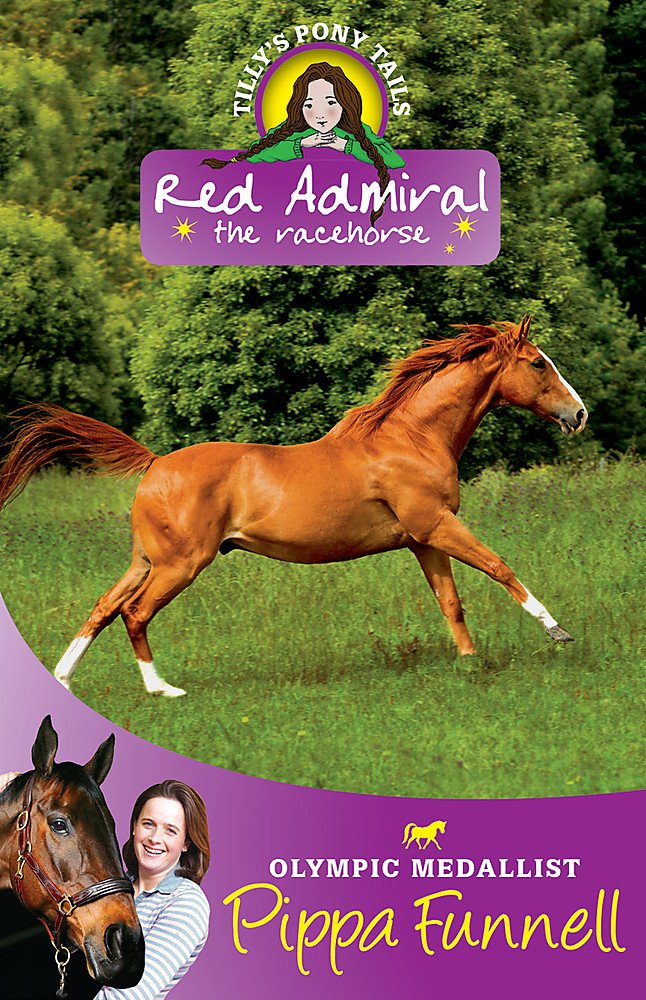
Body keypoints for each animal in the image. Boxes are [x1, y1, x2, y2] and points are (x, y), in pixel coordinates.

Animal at [0, 316, 587, 698]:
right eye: (538, 363)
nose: (578, 414)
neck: (413, 438)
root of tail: (155, 464)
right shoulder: (436, 525)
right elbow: (499, 567)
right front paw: (558, 633)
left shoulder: (423, 539)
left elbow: (451, 601)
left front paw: (468, 662)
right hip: (181, 564)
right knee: (134, 613)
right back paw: (163, 690)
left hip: (146, 560)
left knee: (103, 607)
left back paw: (64, 679)